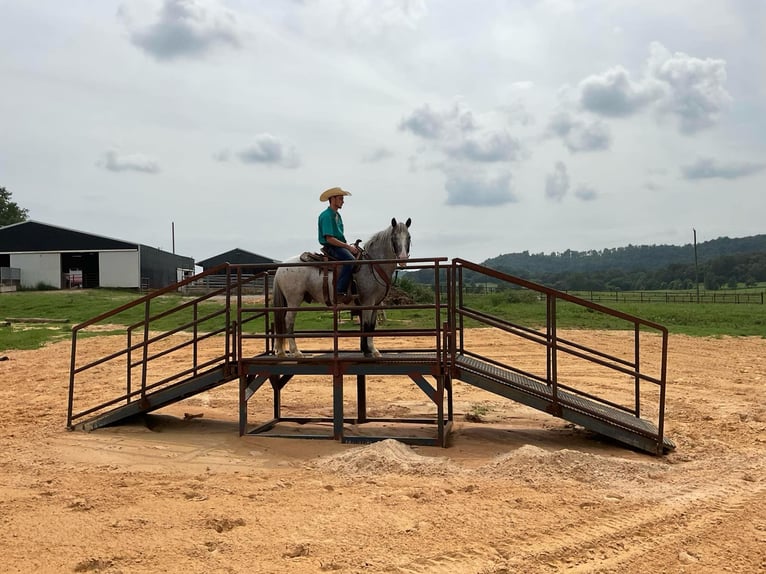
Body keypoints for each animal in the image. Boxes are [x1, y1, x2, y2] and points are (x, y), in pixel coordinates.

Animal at [272, 218, 412, 358]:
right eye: (393, 238)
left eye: (409, 237)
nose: (403, 259)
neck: (372, 265)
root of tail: (281, 267)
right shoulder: (368, 302)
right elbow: (367, 326)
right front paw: (368, 351)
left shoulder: (376, 304)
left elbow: (371, 327)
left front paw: (372, 350)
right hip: (294, 300)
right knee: (289, 321)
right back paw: (296, 352)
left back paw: (281, 351)